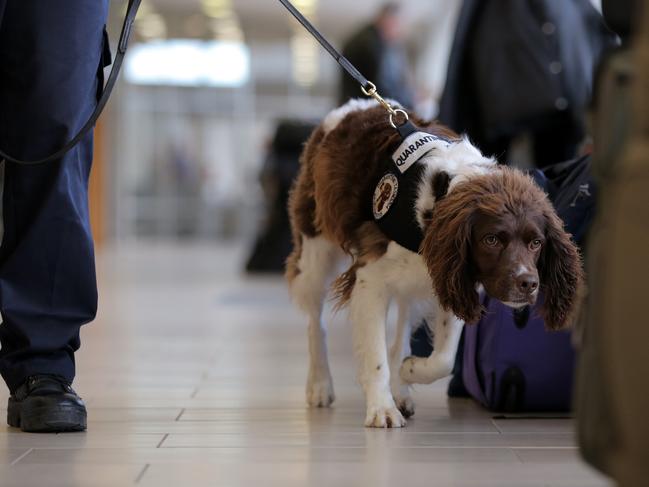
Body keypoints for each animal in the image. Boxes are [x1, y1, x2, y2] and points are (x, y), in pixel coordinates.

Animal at [286, 99, 580, 428]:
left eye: (536, 243)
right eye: (491, 239)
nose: (527, 283)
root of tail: (356, 104)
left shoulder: (453, 276)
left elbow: (443, 358)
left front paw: (407, 371)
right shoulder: (370, 279)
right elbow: (375, 356)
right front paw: (382, 408)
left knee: (401, 329)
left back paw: (400, 387)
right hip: (314, 253)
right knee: (315, 322)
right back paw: (320, 384)